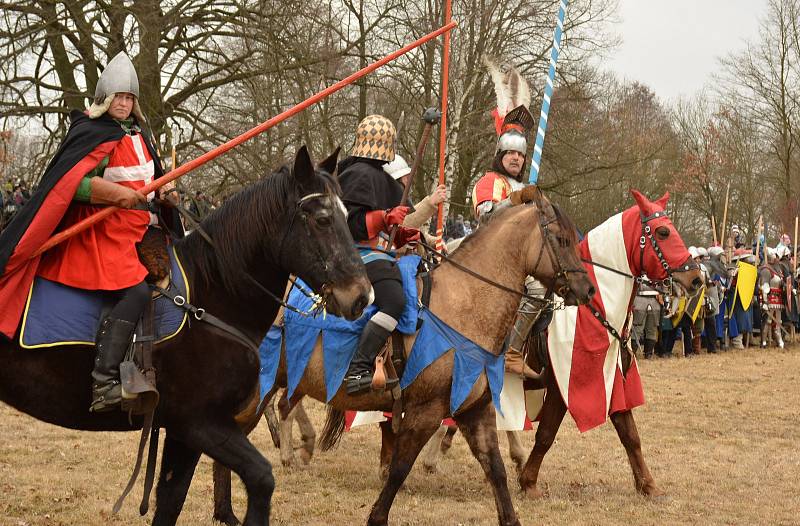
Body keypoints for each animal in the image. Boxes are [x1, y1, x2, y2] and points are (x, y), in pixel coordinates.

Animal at [0, 146, 374, 524]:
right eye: (322, 219)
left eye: (346, 216)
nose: (361, 297)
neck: (212, 295)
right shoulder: (199, 422)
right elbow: (261, 478)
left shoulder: (184, 433)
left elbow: (171, 499)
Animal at [209, 195, 596, 526]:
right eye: (562, 239)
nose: (587, 290)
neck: (465, 304)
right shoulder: (426, 411)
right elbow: (399, 468)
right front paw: (377, 516)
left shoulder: (475, 411)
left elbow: (496, 470)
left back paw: (229, 509)